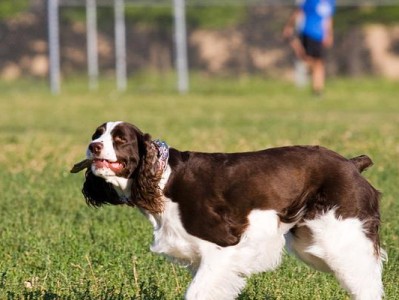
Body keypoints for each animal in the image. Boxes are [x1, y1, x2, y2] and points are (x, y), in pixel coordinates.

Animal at [70, 120, 386, 298]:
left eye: (120, 139)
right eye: (97, 134)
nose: (93, 146)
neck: (163, 178)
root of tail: (351, 163)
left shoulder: (224, 247)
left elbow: (197, 292)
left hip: (341, 234)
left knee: (367, 282)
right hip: (311, 242)